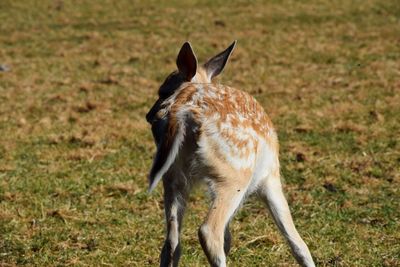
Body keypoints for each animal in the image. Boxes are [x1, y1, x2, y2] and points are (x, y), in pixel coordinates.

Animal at [146, 40, 316, 267]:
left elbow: (228, 237)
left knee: (172, 242)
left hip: (172, 175)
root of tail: (181, 112)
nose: (149, 116)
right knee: (209, 231)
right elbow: (296, 240)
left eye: (162, 91)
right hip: (234, 175)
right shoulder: (270, 177)